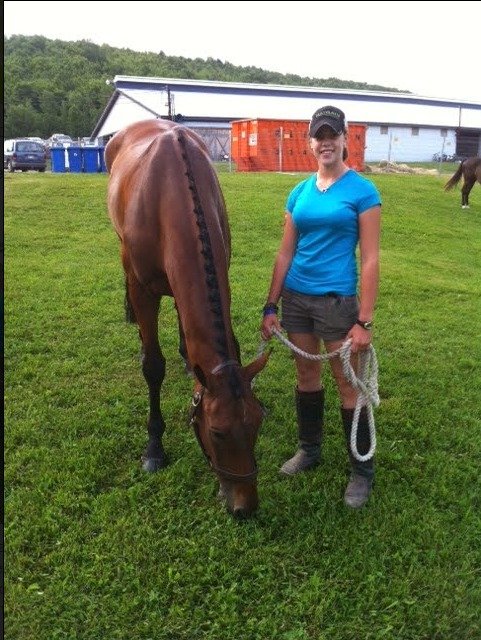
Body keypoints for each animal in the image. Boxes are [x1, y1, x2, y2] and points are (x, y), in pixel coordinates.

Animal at [105, 121, 268, 520]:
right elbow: (152, 366)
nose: (245, 506)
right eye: (218, 432)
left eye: (258, 421)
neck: (170, 197)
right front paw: (154, 447)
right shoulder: (143, 289)